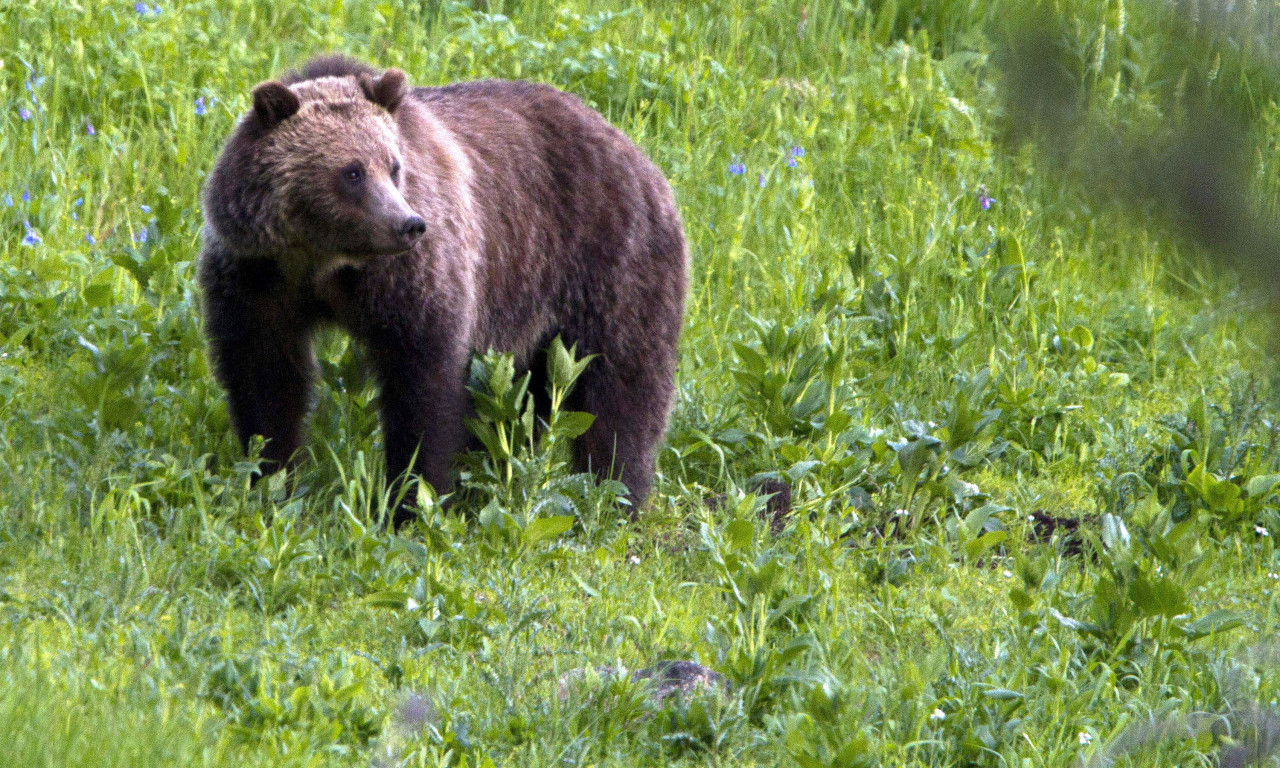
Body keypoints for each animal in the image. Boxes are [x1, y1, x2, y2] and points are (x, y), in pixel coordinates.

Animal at [195, 52, 686, 522]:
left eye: (393, 166)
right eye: (352, 172)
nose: (408, 224)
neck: (324, 261)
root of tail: (636, 151)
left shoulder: (411, 279)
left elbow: (423, 385)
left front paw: (411, 500)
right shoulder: (257, 276)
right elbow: (265, 377)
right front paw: (270, 480)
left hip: (607, 262)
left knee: (622, 386)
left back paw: (616, 494)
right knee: (527, 399)